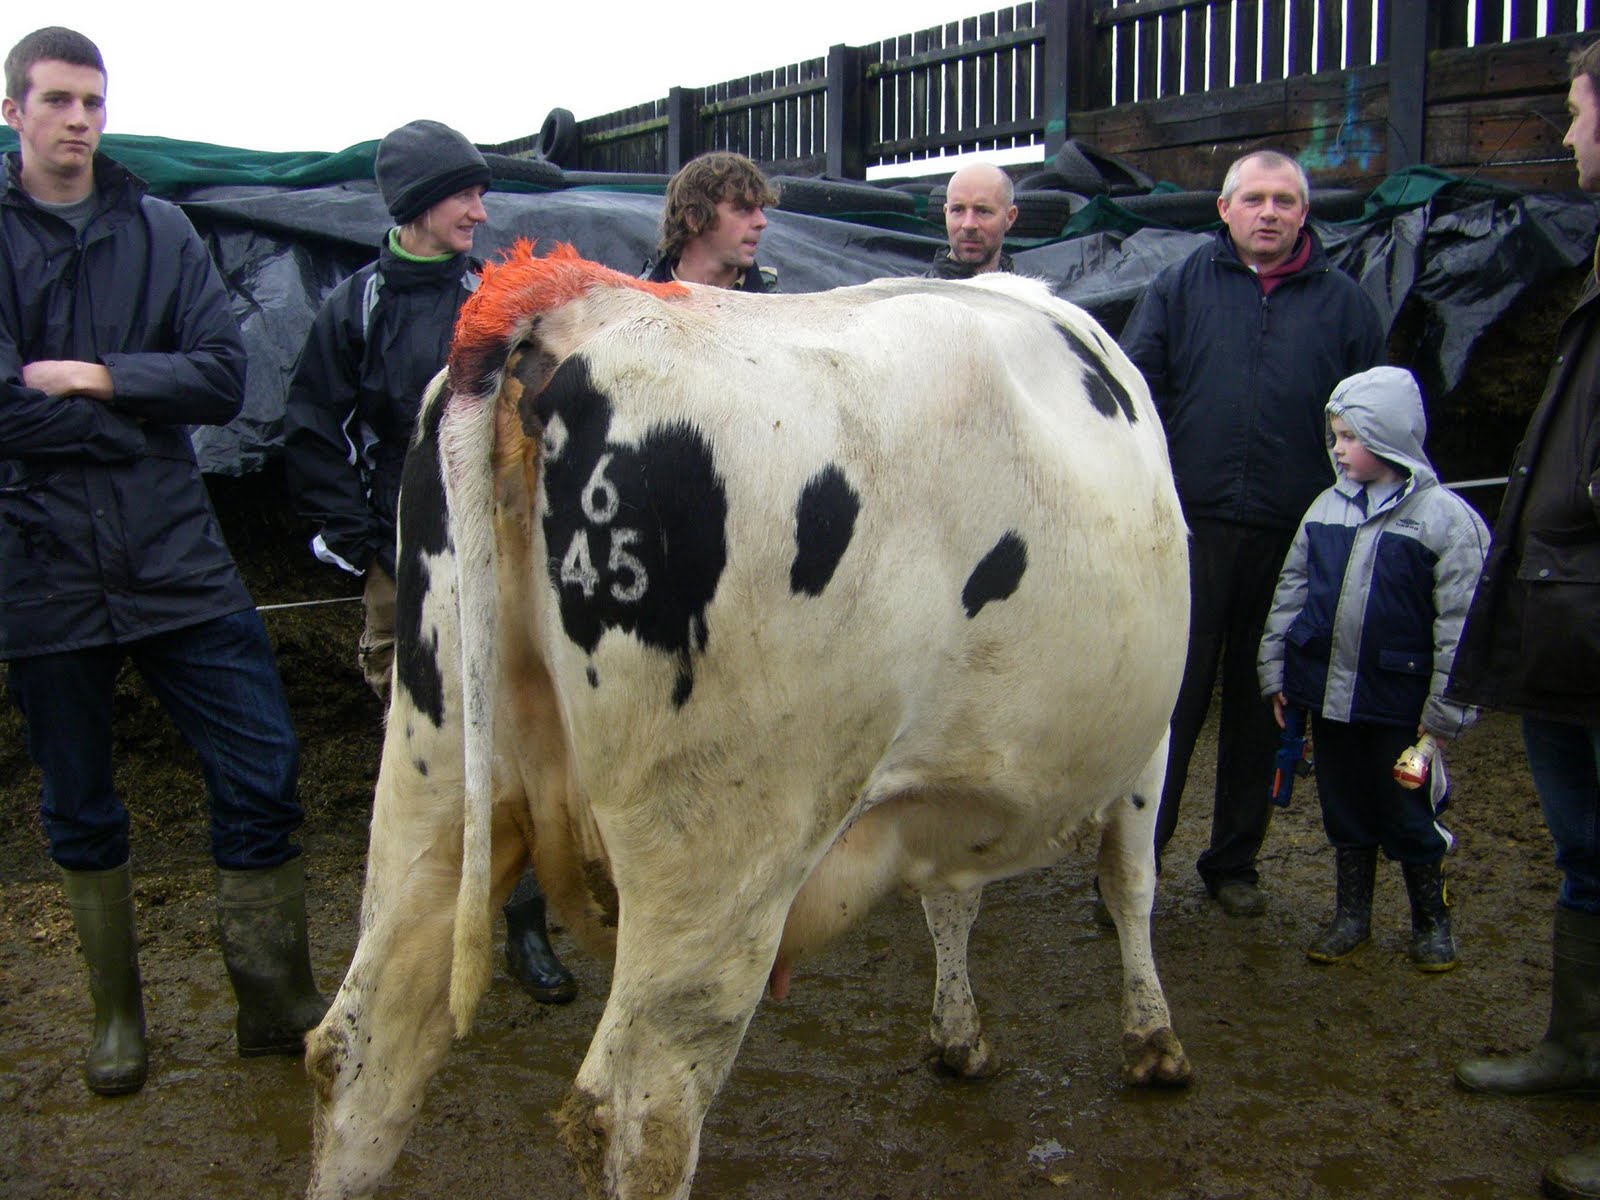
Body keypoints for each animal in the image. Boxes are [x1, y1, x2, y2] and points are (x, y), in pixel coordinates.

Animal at [304, 242, 1192, 1200]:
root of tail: (565, 307)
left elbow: (952, 899)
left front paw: (959, 1036)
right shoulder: (1149, 746)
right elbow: (1129, 881)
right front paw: (1154, 1043)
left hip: (434, 779)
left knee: (361, 1054)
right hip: (721, 855)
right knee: (637, 1117)